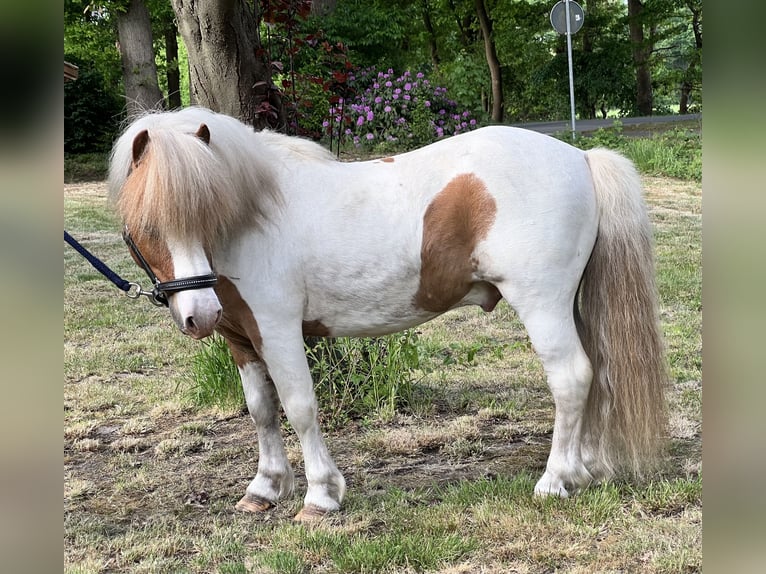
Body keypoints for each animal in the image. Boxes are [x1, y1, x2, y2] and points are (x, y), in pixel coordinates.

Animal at [108, 106, 667, 522]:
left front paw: (320, 497)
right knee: (597, 374)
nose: (198, 314)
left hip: (542, 304)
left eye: (204, 216)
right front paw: (265, 489)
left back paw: (554, 481)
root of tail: (581, 157)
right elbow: (261, 410)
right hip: (569, 305)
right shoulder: (241, 339)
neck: (252, 216)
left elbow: (299, 407)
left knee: (571, 378)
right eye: (148, 225)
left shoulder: (278, 331)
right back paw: (585, 470)